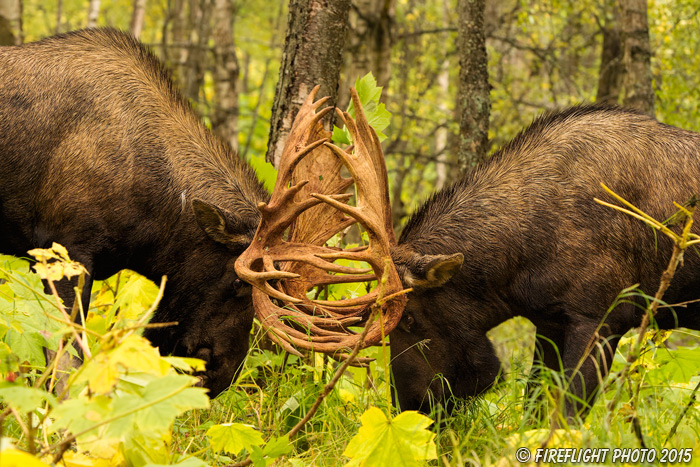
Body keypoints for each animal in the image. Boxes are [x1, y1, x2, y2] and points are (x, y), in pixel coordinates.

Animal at [388, 106, 700, 420]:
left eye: (409, 318)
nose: (409, 405)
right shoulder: (550, 323)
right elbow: (534, 407)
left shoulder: (601, 319)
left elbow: (567, 414)